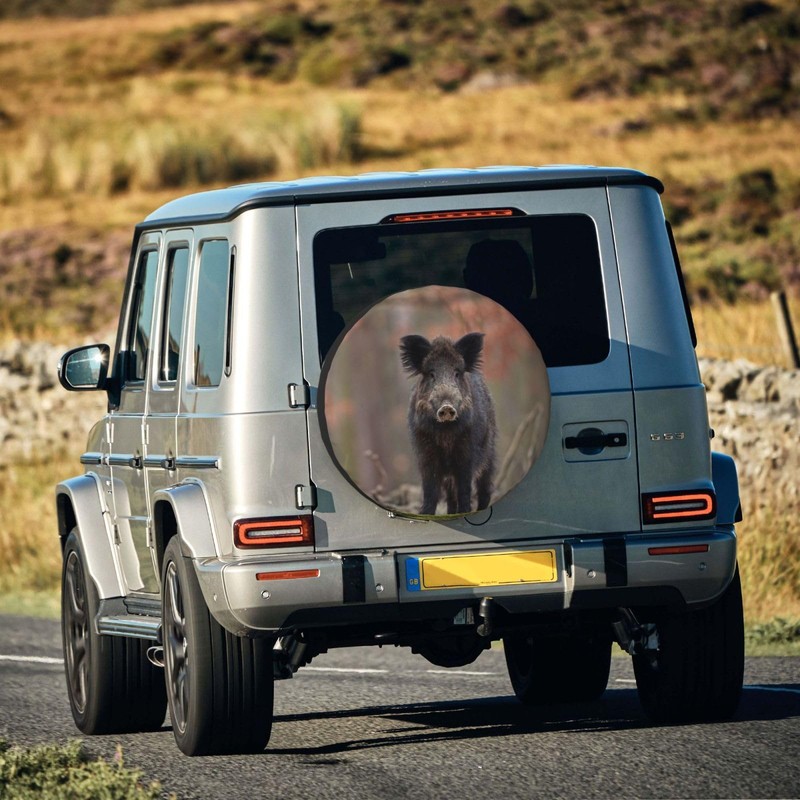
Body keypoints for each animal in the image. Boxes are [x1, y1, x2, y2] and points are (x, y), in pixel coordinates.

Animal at [399, 332, 497, 515]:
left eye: (457, 373)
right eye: (431, 374)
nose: (446, 406)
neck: (445, 433)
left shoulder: (467, 454)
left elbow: (464, 489)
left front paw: (465, 511)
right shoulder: (426, 454)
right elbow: (430, 491)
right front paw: (425, 514)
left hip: (490, 451)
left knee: (484, 488)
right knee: (450, 495)